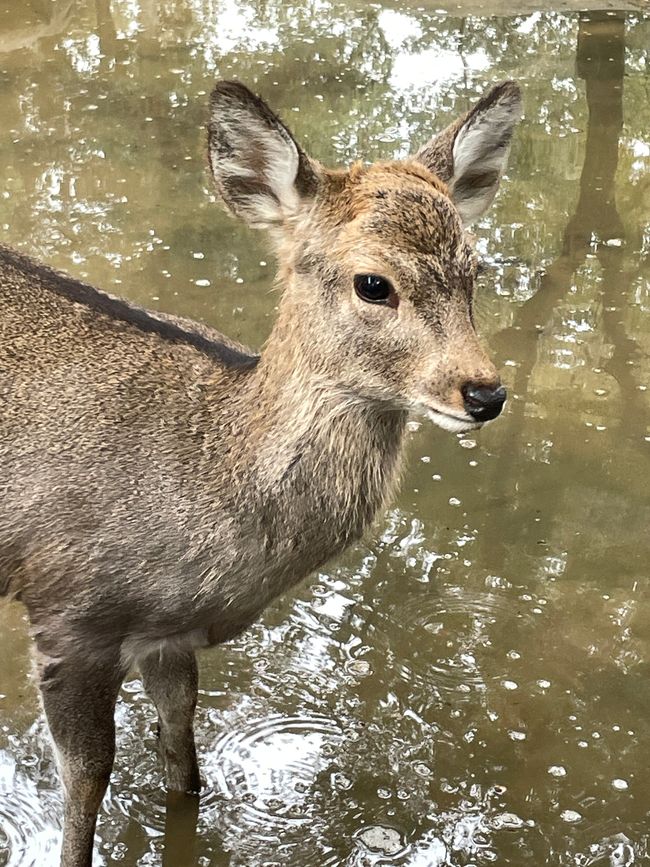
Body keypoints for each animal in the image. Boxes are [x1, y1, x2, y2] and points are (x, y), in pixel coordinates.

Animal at [0, 79, 522, 866]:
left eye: (476, 271)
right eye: (374, 283)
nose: (484, 393)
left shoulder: (166, 636)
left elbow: (182, 750)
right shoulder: (68, 615)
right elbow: (86, 786)